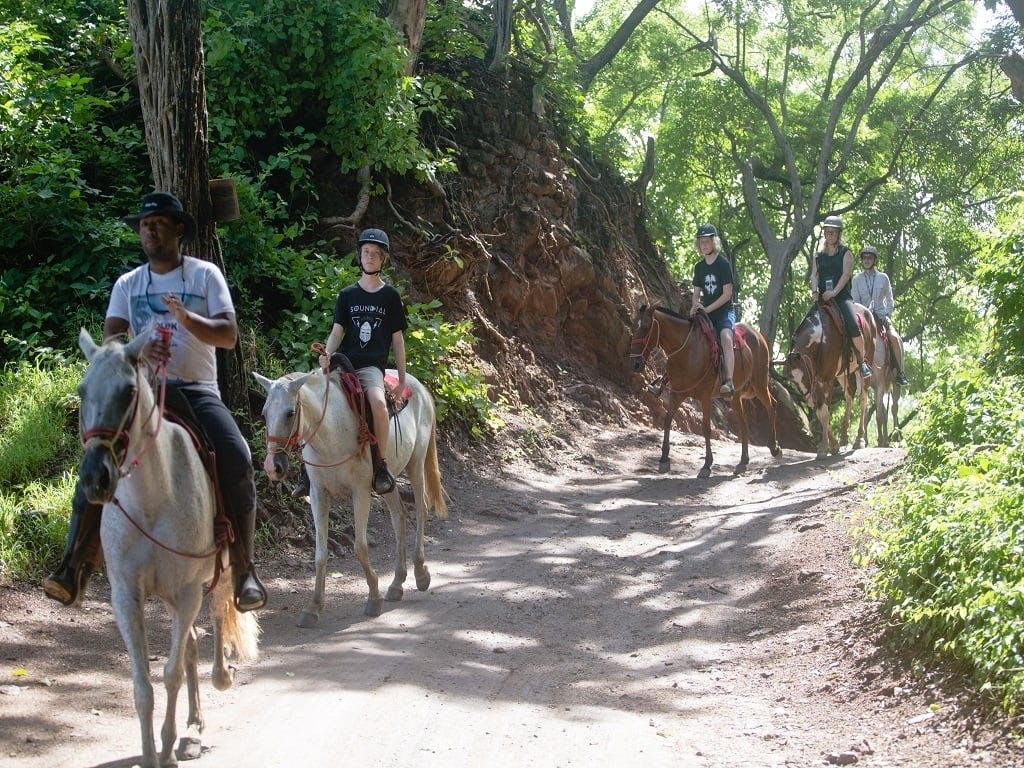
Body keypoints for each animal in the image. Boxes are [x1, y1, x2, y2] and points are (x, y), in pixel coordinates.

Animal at [76, 331, 258, 768]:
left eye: (128, 391)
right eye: (82, 390)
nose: (94, 478)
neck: (152, 498)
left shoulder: (190, 588)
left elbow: (171, 673)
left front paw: (167, 745)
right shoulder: (127, 595)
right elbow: (143, 685)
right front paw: (150, 753)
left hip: (215, 576)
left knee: (216, 618)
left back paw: (215, 689)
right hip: (171, 596)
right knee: (190, 643)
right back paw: (191, 729)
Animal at [253, 370, 446, 626]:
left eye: (290, 413)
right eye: (264, 413)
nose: (272, 467)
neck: (330, 434)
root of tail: (420, 388)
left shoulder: (360, 492)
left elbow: (360, 547)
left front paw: (373, 598)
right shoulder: (318, 495)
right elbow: (320, 554)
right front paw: (313, 607)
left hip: (415, 464)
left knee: (421, 510)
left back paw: (421, 574)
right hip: (389, 481)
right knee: (399, 516)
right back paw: (396, 584)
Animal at [622, 305, 782, 475]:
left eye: (646, 327)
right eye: (634, 325)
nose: (634, 364)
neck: (687, 351)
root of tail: (757, 335)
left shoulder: (705, 397)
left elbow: (706, 428)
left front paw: (707, 465)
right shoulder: (677, 394)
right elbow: (667, 420)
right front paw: (664, 459)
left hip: (759, 384)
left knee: (772, 406)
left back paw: (774, 448)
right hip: (736, 396)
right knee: (743, 424)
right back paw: (743, 461)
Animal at [778, 301, 876, 456]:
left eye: (806, 374)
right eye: (793, 381)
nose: (808, 400)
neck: (821, 340)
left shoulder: (826, 380)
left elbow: (824, 413)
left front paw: (824, 448)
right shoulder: (818, 382)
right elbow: (820, 412)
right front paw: (833, 445)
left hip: (865, 363)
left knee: (862, 398)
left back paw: (859, 439)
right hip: (841, 374)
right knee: (849, 395)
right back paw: (844, 437)